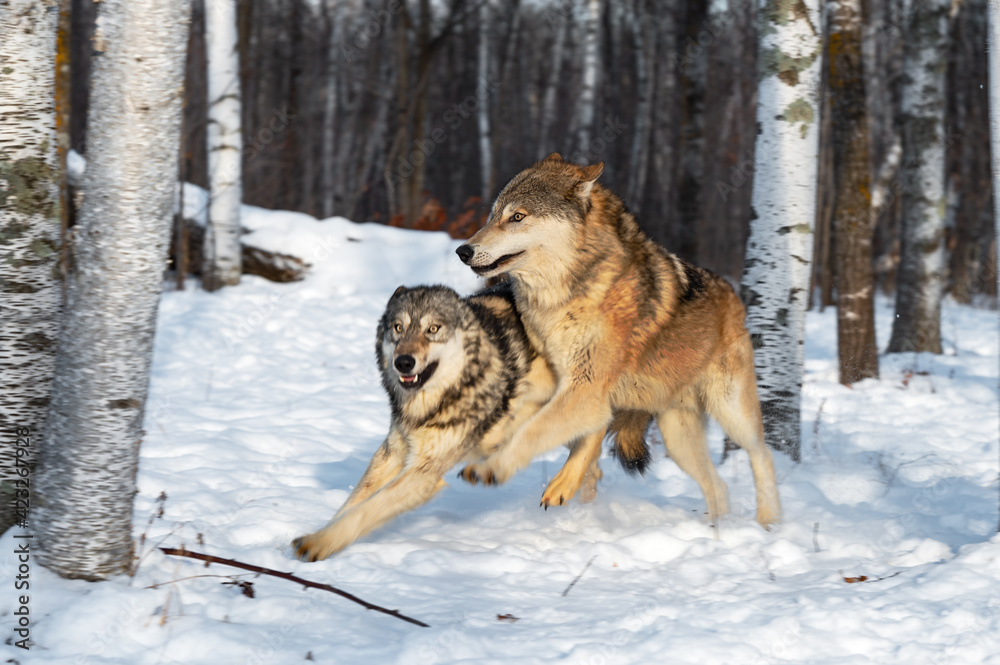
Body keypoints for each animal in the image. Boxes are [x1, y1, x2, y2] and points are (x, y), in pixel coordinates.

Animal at [292, 283, 606, 561]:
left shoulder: (424, 472)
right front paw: (323, 533)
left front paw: (318, 543)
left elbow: (366, 509)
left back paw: (563, 484)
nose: (403, 362)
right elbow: (352, 503)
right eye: (398, 328)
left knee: (597, 423)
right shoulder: (393, 450)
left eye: (432, 329)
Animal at [455, 153, 782, 528]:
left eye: (517, 217)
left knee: (762, 454)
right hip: (678, 437)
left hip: (731, 412)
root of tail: (732, 293)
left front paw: (491, 469)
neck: (569, 295)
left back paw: (768, 522)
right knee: (718, 485)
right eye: (492, 215)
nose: (463, 250)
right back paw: (718, 530)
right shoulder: (559, 383)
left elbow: (532, 432)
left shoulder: (585, 389)